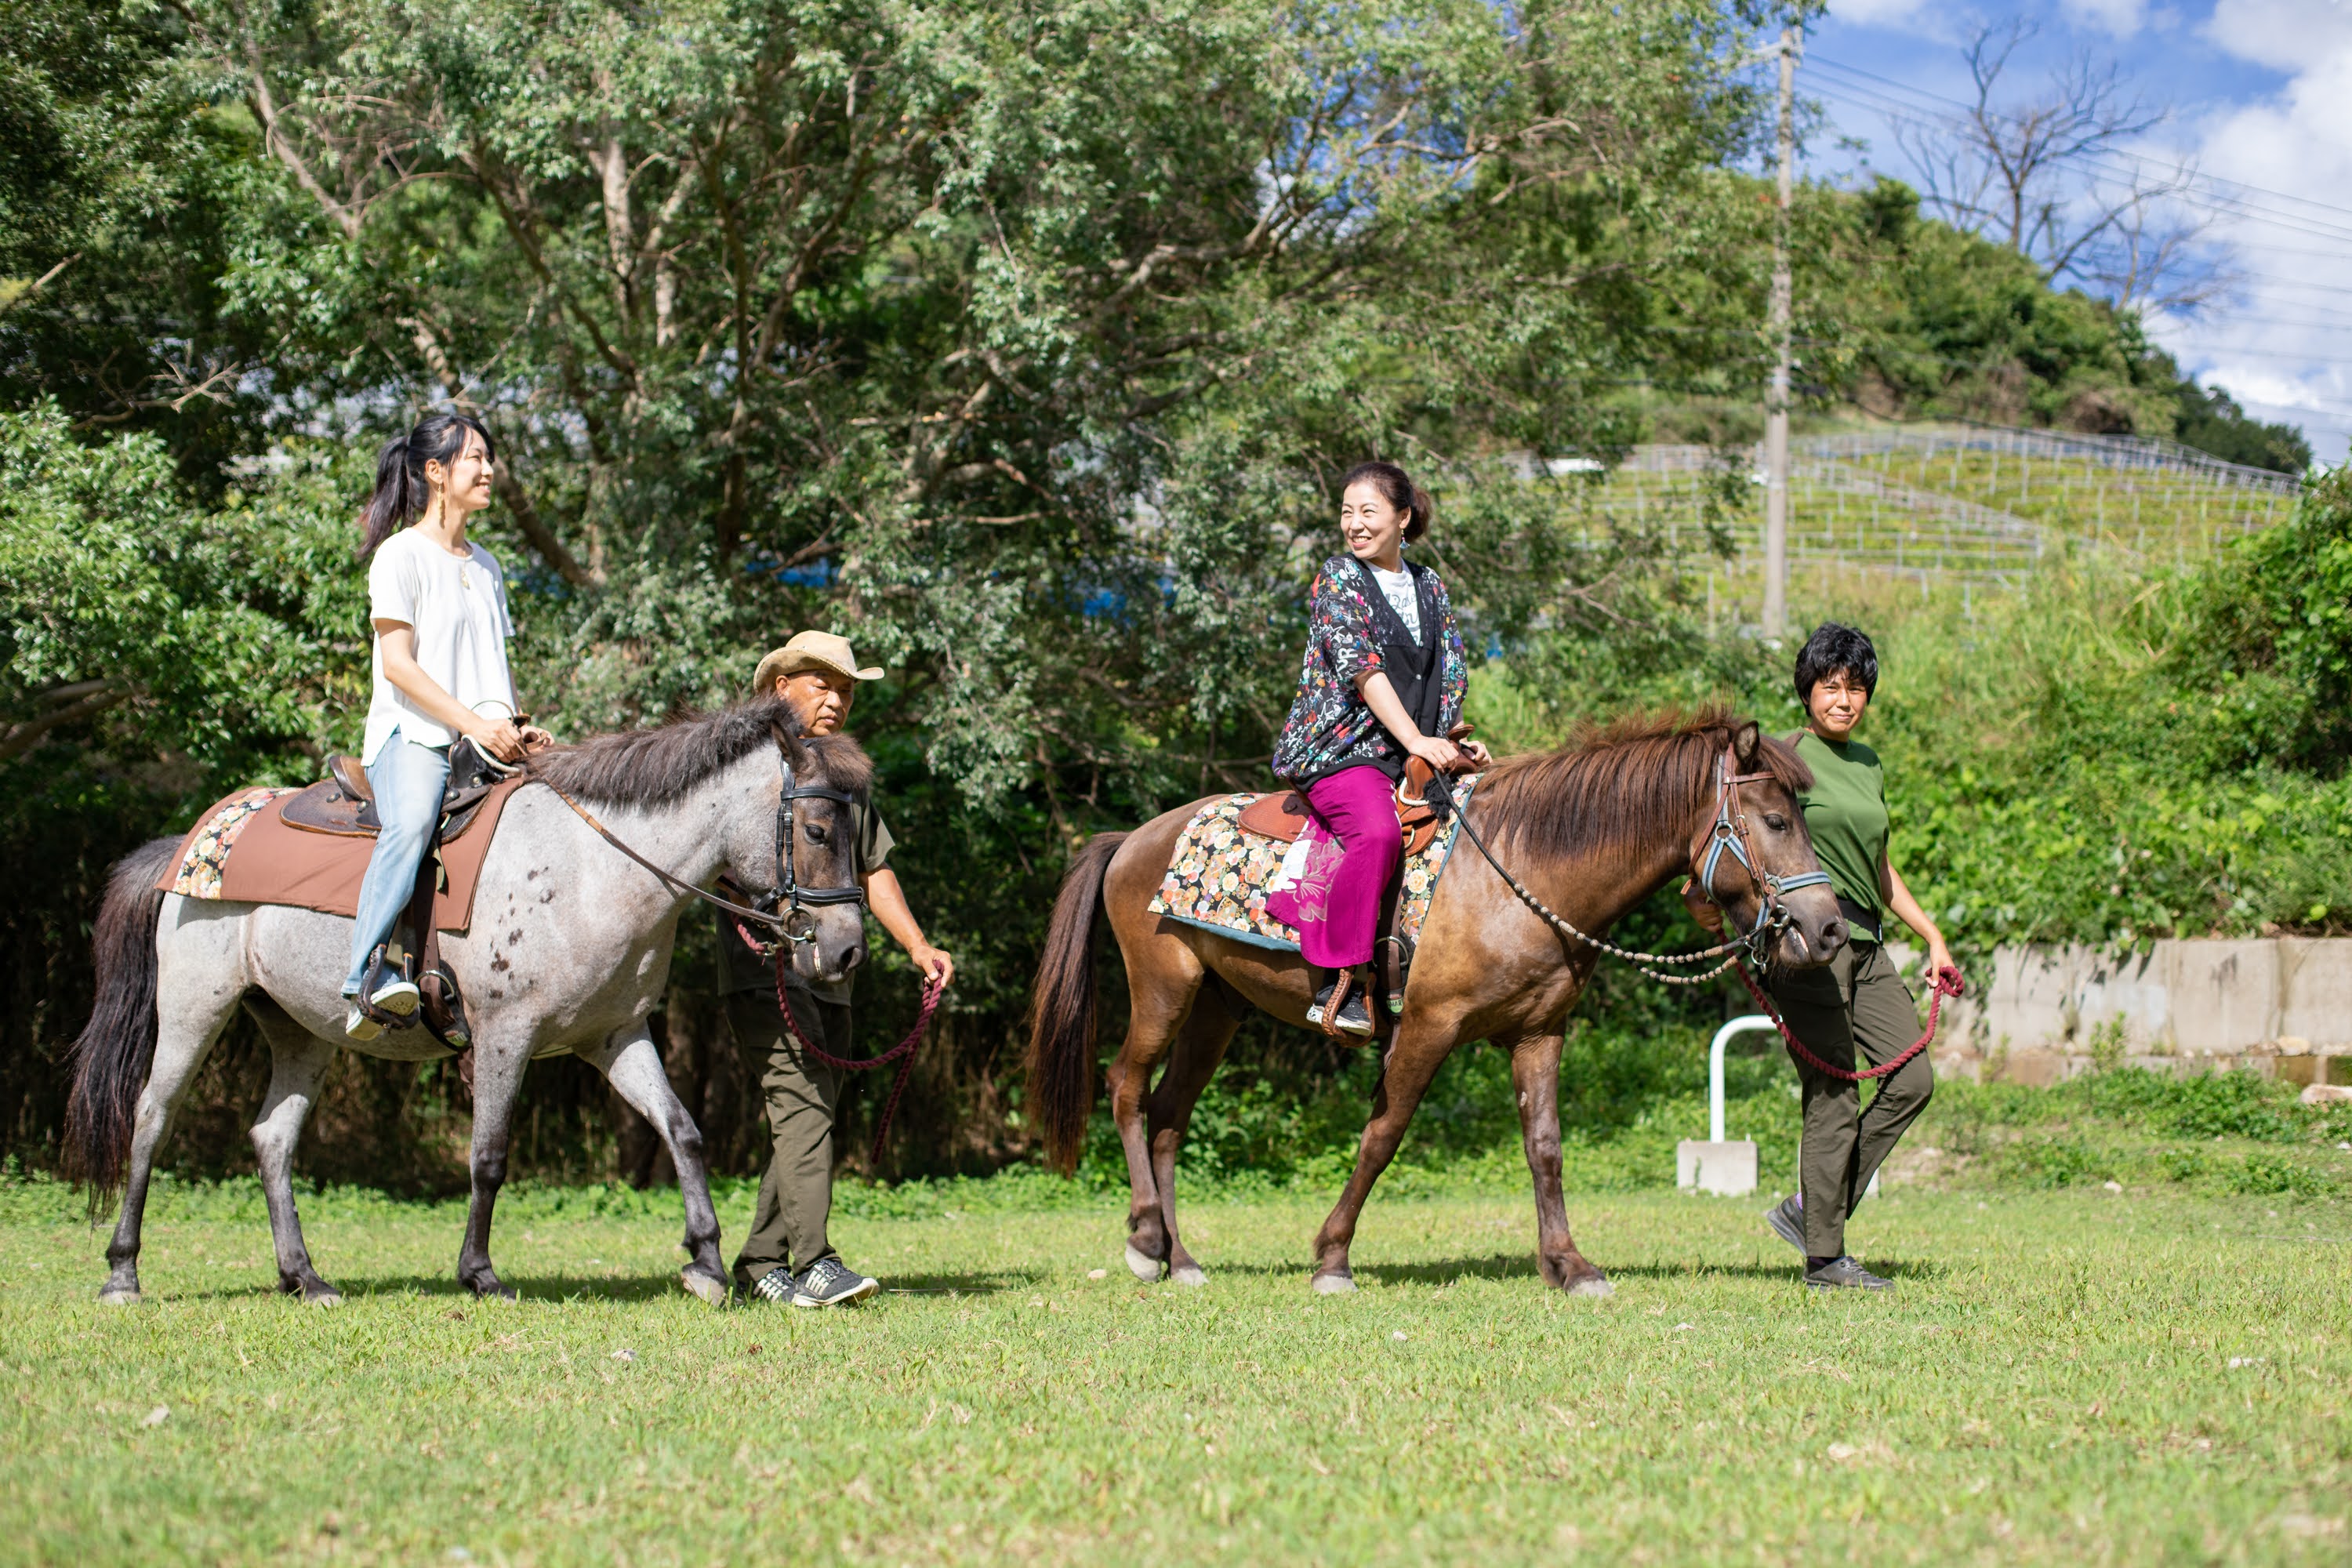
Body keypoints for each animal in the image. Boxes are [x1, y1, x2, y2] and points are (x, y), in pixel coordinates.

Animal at [67, 705, 875, 1307]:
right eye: (816, 830)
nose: (845, 951)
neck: (592, 868)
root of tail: (191, 842)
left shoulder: (615, 1036)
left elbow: (682, 1131)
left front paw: (704, 1263)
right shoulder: (505, 1036)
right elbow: (488, 1157)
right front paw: (480, 1274)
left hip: (302, 1032)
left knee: (272, 1139)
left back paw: (306, 1278)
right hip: (194, 1011)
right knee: (151, 1119)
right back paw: (122, 1272)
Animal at [1030, 714, 1853, 1298]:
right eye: (1776, 822)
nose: (1829, 929)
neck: (1521, 871)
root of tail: (1136, 836)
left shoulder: (1539, 1033)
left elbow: (1545, 1148)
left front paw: (1569, 1265)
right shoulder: (1427, 1028)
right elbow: (1382, 1137)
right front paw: (1332, 1258)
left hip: (1216, 1009)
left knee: (1169, 1116)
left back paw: (1181, 1258)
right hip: (1164, 992)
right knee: (1127, 1090)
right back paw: (1144, 1242)